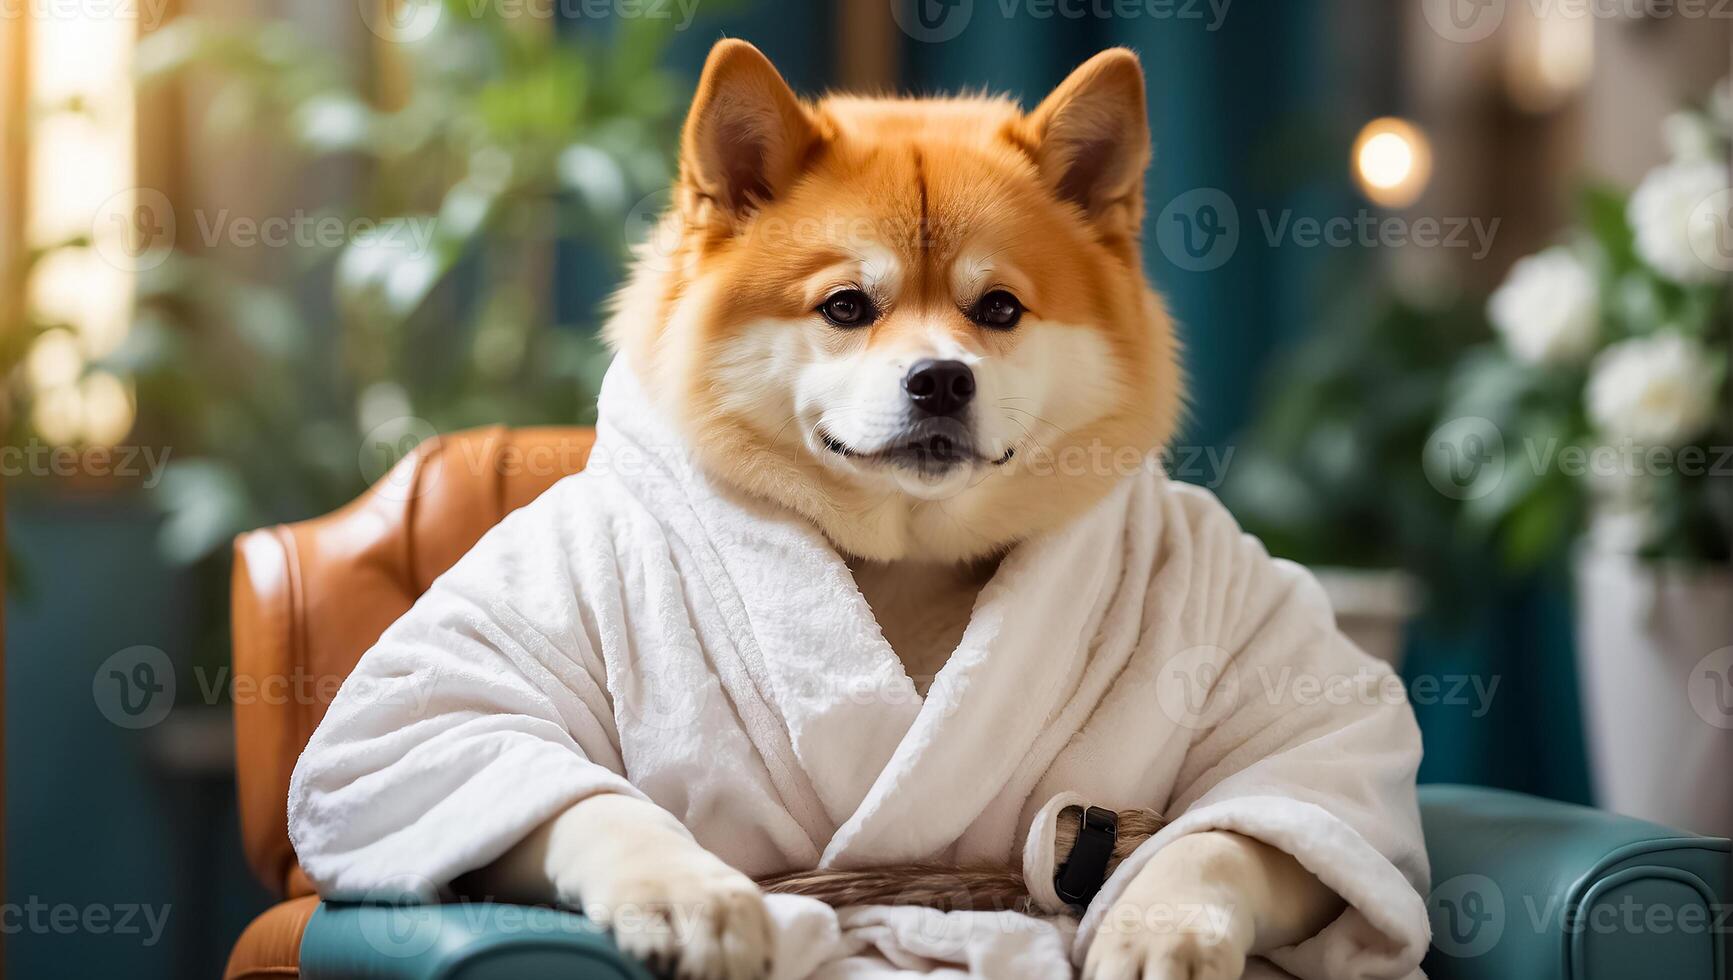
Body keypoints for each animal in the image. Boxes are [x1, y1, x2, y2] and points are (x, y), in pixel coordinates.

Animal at [481, 38, 1344, 978]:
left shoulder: (1278, 686)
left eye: (998, 308)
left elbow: (1245, 823)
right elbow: (564, 784)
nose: (940, 379)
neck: (907, 558)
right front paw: (682, 890)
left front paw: (1165, 924)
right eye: (846, 306)